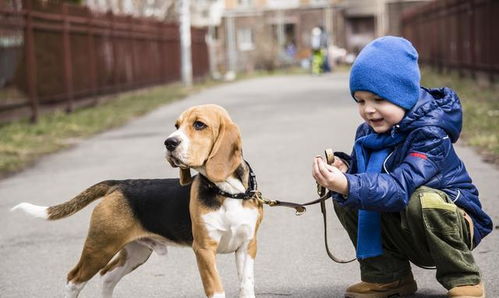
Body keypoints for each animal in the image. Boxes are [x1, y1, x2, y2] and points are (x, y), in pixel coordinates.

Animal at [9, 104, 264, 298]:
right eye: (176, 126)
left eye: (199, 125)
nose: (169, 142)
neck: (227, 192)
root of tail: (119, 184)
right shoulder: (203, 250)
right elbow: (216, 290)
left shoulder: (246, 246)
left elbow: (246, 286)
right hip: (100, 246)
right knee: (74, 279)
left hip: (135, 252)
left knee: (108, 276)